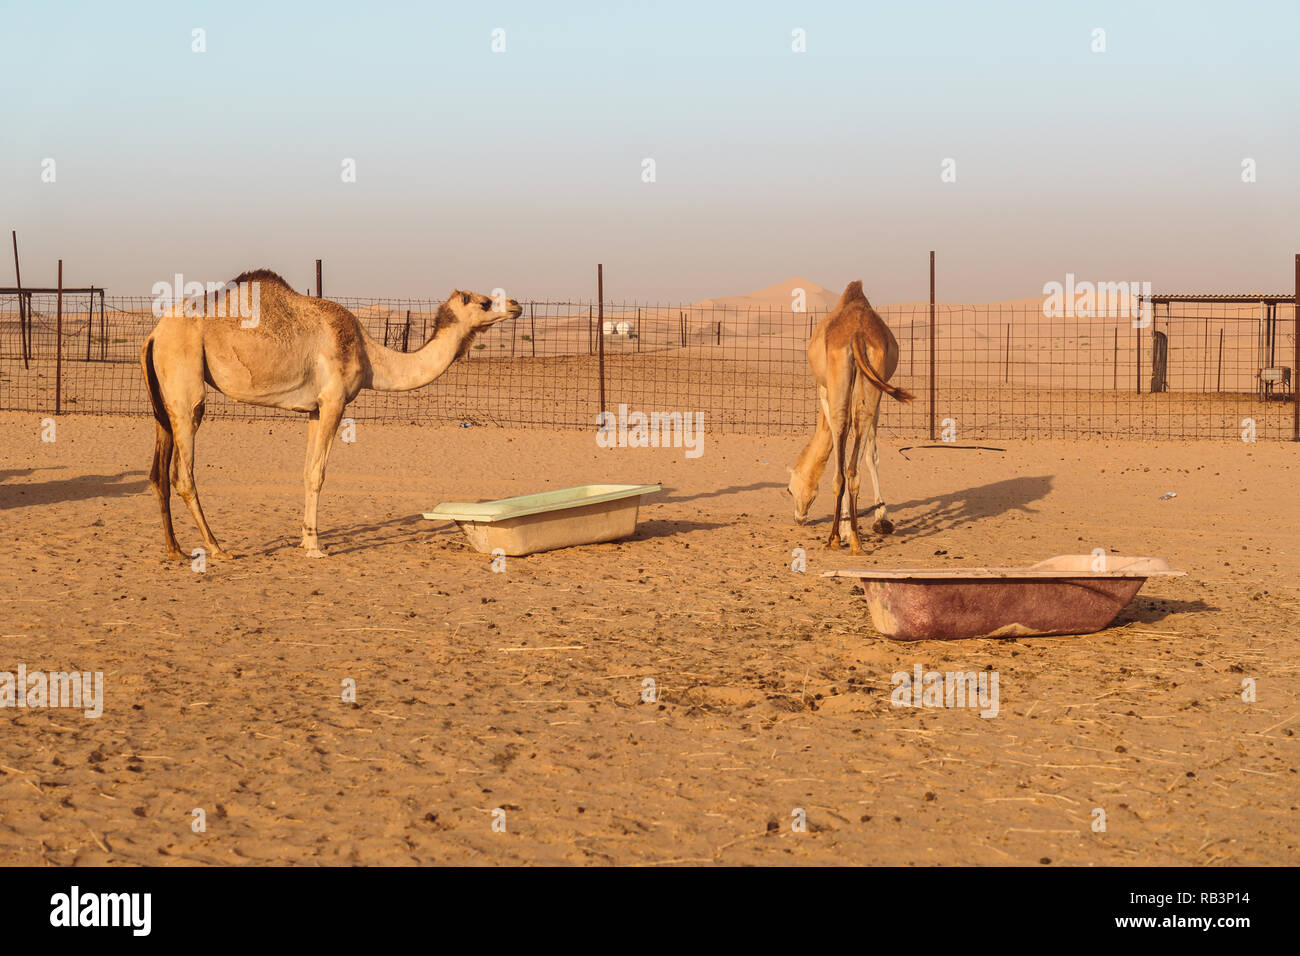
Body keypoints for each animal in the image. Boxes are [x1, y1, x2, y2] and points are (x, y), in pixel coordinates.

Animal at [142, 269, 522, 561]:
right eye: (485, 302)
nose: (516, 305)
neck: (369, 355)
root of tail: (155, 334)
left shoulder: (314, 409)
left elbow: (305, 471)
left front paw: (304, 539)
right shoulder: (335, 400)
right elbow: (317, 474)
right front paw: (315, 547)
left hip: (163, 400)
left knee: (158, 472)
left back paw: (175, 550)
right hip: (186, 386)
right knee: (182, 473)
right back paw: (218, 548)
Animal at [780, 278, 915, 554]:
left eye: (789, 489)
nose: (799, 518)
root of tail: (857, 335)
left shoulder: (823, 391)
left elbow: (836, 446)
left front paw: (846, 525)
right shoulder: (878, 394)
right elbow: (871, 454)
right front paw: (882, 519)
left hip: (838, 385)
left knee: (841, 457)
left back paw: (836, 537)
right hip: (871, 385)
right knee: (853, 464)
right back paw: (854, 539)